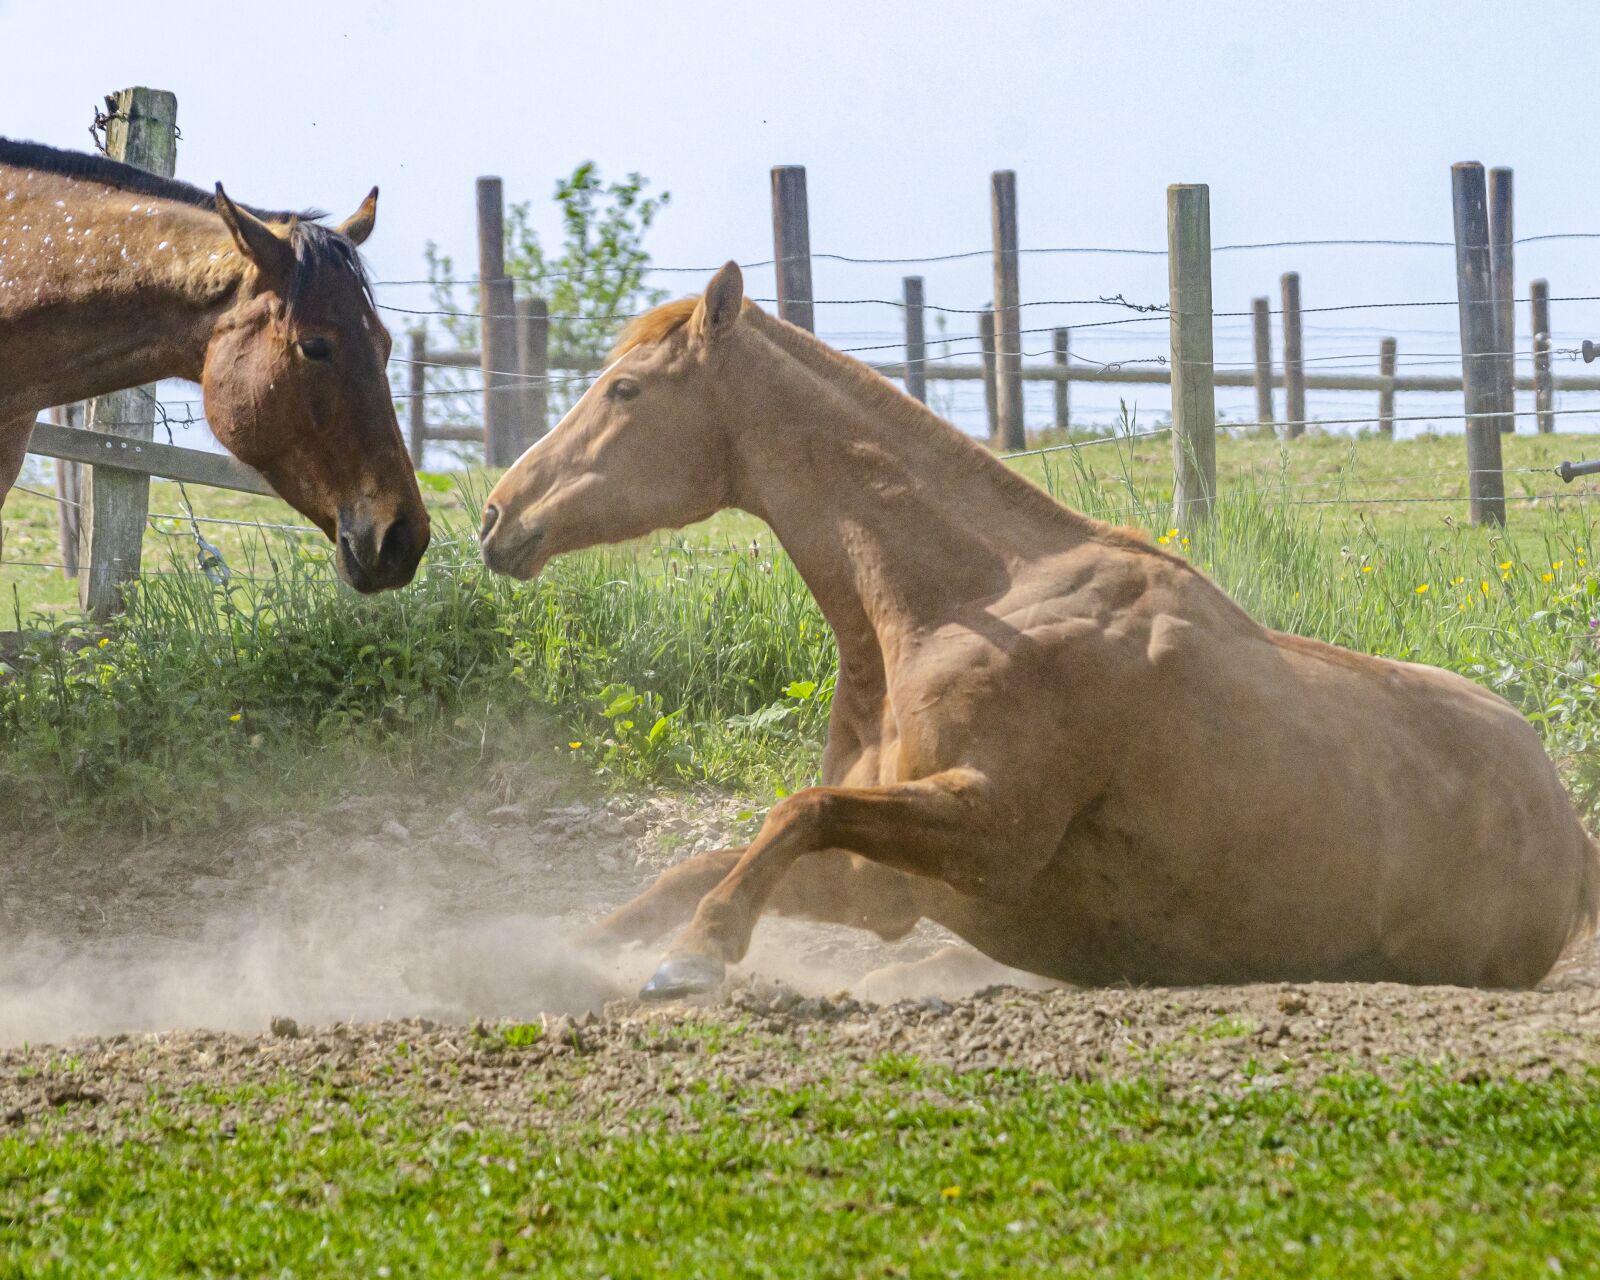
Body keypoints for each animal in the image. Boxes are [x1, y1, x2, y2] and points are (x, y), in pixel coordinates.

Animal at [479, 262, 1599, 1001]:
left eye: (624, 388)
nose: (495, 516)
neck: (973, 603)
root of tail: (1568, 829)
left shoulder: (991, 833)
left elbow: (798, 809)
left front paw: (697, 955)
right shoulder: (885, 883)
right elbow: (710, 857)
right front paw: (559, 953)